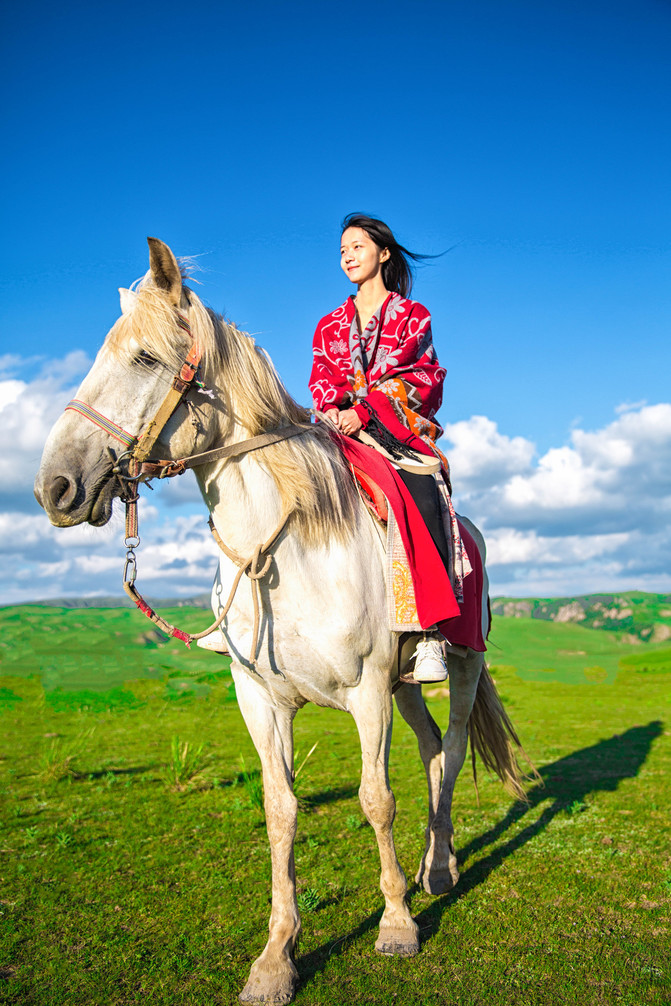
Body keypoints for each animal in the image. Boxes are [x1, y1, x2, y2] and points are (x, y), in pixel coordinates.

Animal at [35, 239, 531, 1001]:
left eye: (144, 358)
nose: (53, 487)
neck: (290, 547)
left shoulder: (365, 691)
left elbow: (375, 799)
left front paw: (395, 924)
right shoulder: (261, 699)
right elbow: (281, 810)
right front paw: (275, 957)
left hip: (462, 666)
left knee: (447, 757)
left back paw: (440, 870)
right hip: (407, 685)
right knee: (430, 751)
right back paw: (431, 862)